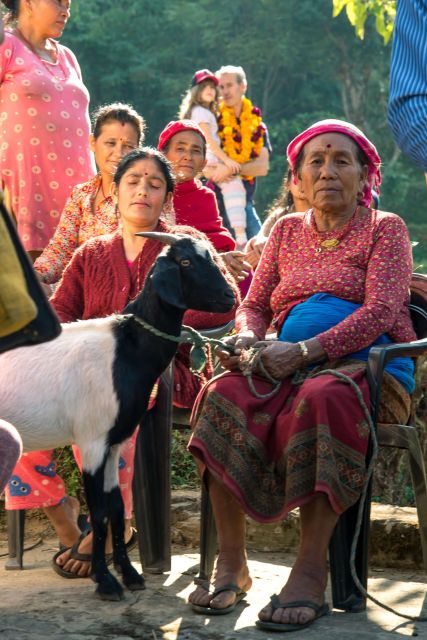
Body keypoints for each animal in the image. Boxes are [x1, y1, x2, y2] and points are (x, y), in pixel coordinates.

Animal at [0, 232, 235, 600]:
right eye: (184, 261)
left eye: (211, 256)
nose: (229, 297)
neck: (125, 348)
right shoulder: (93, 441)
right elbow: (98, 513)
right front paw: (105, 580)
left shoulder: (115, 443)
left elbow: (114, 508)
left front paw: (129, 574)